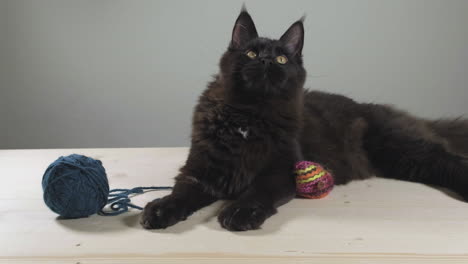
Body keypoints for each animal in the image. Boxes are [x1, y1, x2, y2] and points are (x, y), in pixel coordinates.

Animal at [141, 7, 468, 231]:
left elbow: (257, 192)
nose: (265, 60)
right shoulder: (201, 169)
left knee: (449, 160)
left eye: (281, 58)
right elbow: (181, 193)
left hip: (402, 147)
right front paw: (159, 209)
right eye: (250, 53)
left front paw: (240, 212)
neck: (250, 115)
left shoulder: (282, 171)